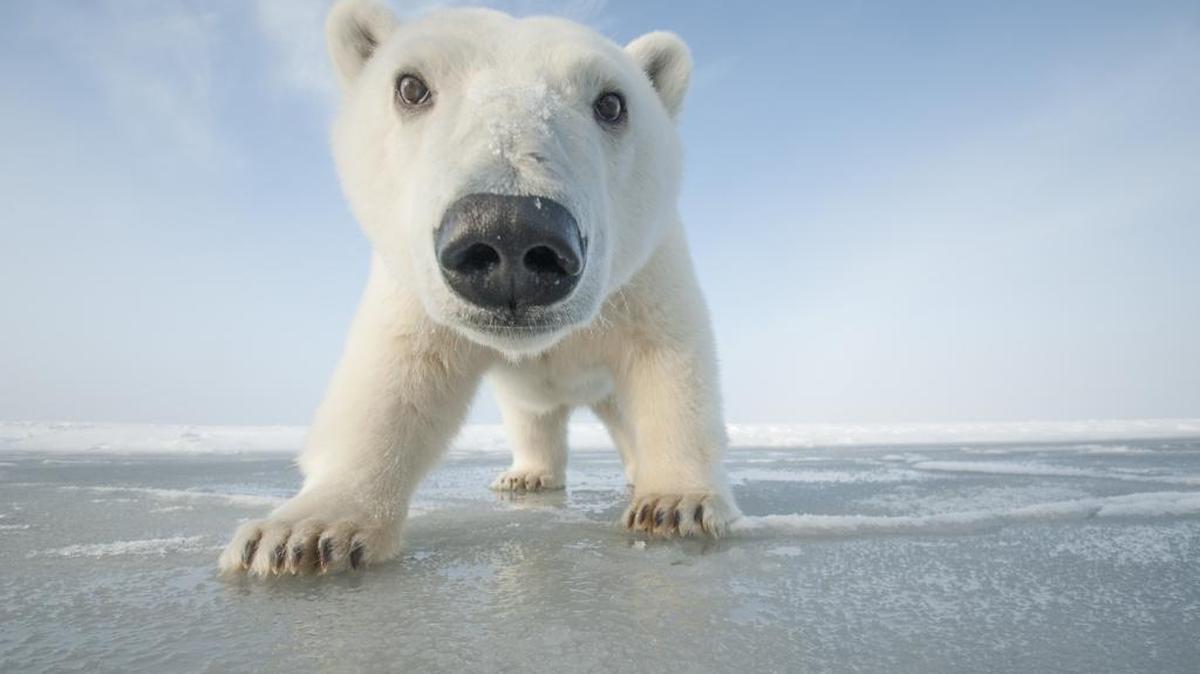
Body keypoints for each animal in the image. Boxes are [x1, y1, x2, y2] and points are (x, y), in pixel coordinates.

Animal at [219, 0, 740, 576]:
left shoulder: (644, 277)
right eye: (411, 86)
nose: (511, 231)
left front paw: (678, 503)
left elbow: (669, 364)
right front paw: (300, 534)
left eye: (611, 102)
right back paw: (527, 474)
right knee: (533, 417)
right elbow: (395, 380)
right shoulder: (415, 295)